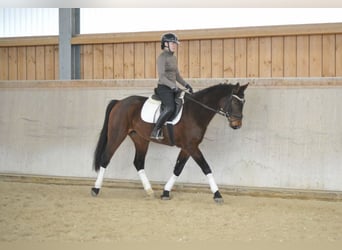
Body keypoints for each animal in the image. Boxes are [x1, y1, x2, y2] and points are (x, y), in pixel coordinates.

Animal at [92, 82, 248, 203]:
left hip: (140, 139)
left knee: (138, 163)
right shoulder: (191, 146)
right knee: (105, 159)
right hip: (117, 135)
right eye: (235, 102)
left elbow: (178, 169)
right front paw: (217, 194)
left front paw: (166, 192)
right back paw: (95, 189)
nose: (237, 125)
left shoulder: (187, 147)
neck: (196, 112)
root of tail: (119, 102)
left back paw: (149, 191)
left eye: (243, 103)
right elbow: (206, 167)